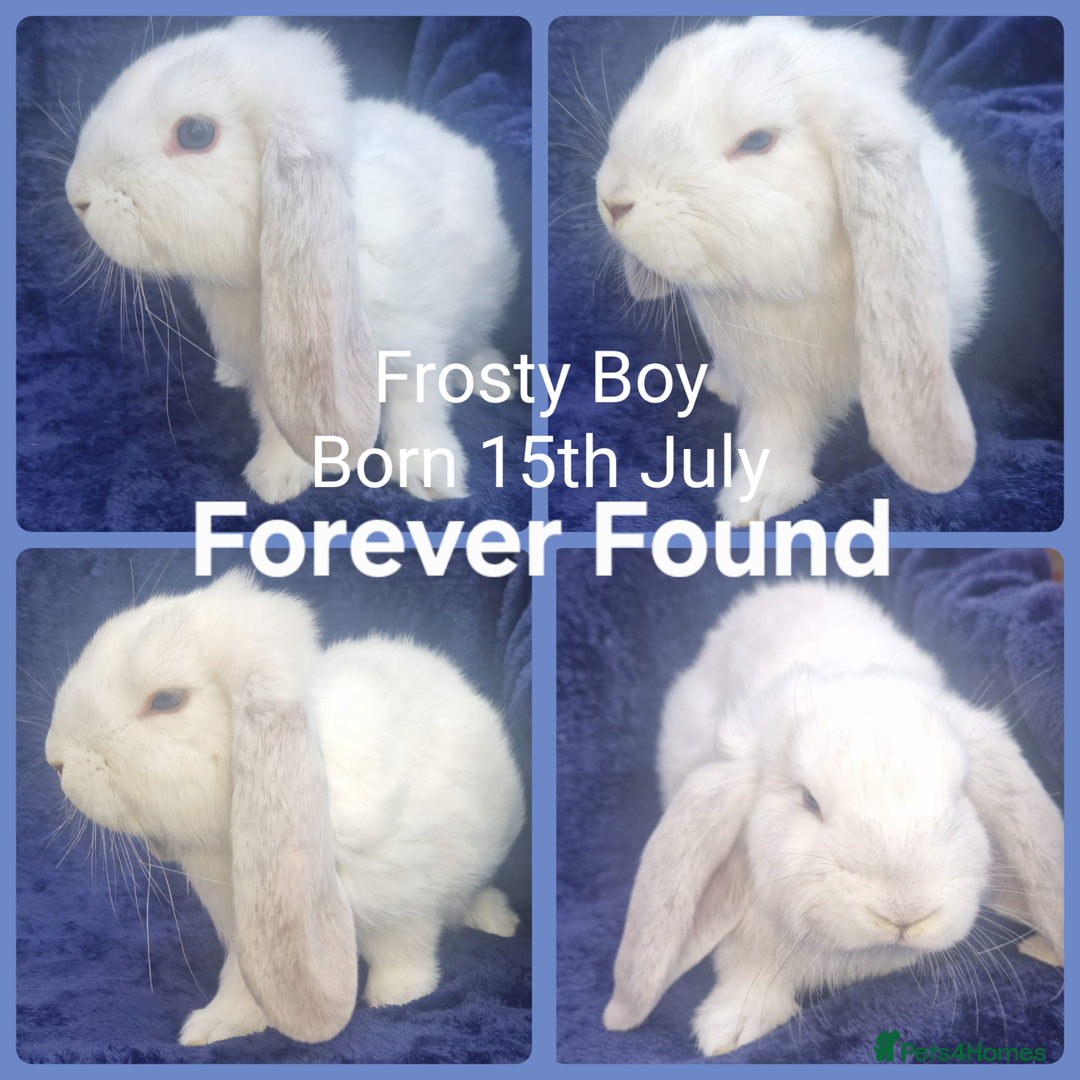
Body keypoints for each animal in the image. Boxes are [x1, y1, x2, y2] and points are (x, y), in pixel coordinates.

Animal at [44, 569, 526, 1045]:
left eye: (166, 700)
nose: (55, 759)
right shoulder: (249, 929)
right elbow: (244, 982)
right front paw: (215, 1027)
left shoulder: (407, 896)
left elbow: (404, 950)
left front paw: (397, 997)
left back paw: (499, 920)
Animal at [64, 16, 519, 503]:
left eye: (195, 133)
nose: (77, 195)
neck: (254, 282)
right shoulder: (275, 371)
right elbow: (278, 423)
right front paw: (276, 480)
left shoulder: (416, 345)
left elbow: (417, 409)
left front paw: (430, 477)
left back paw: (490, 376)